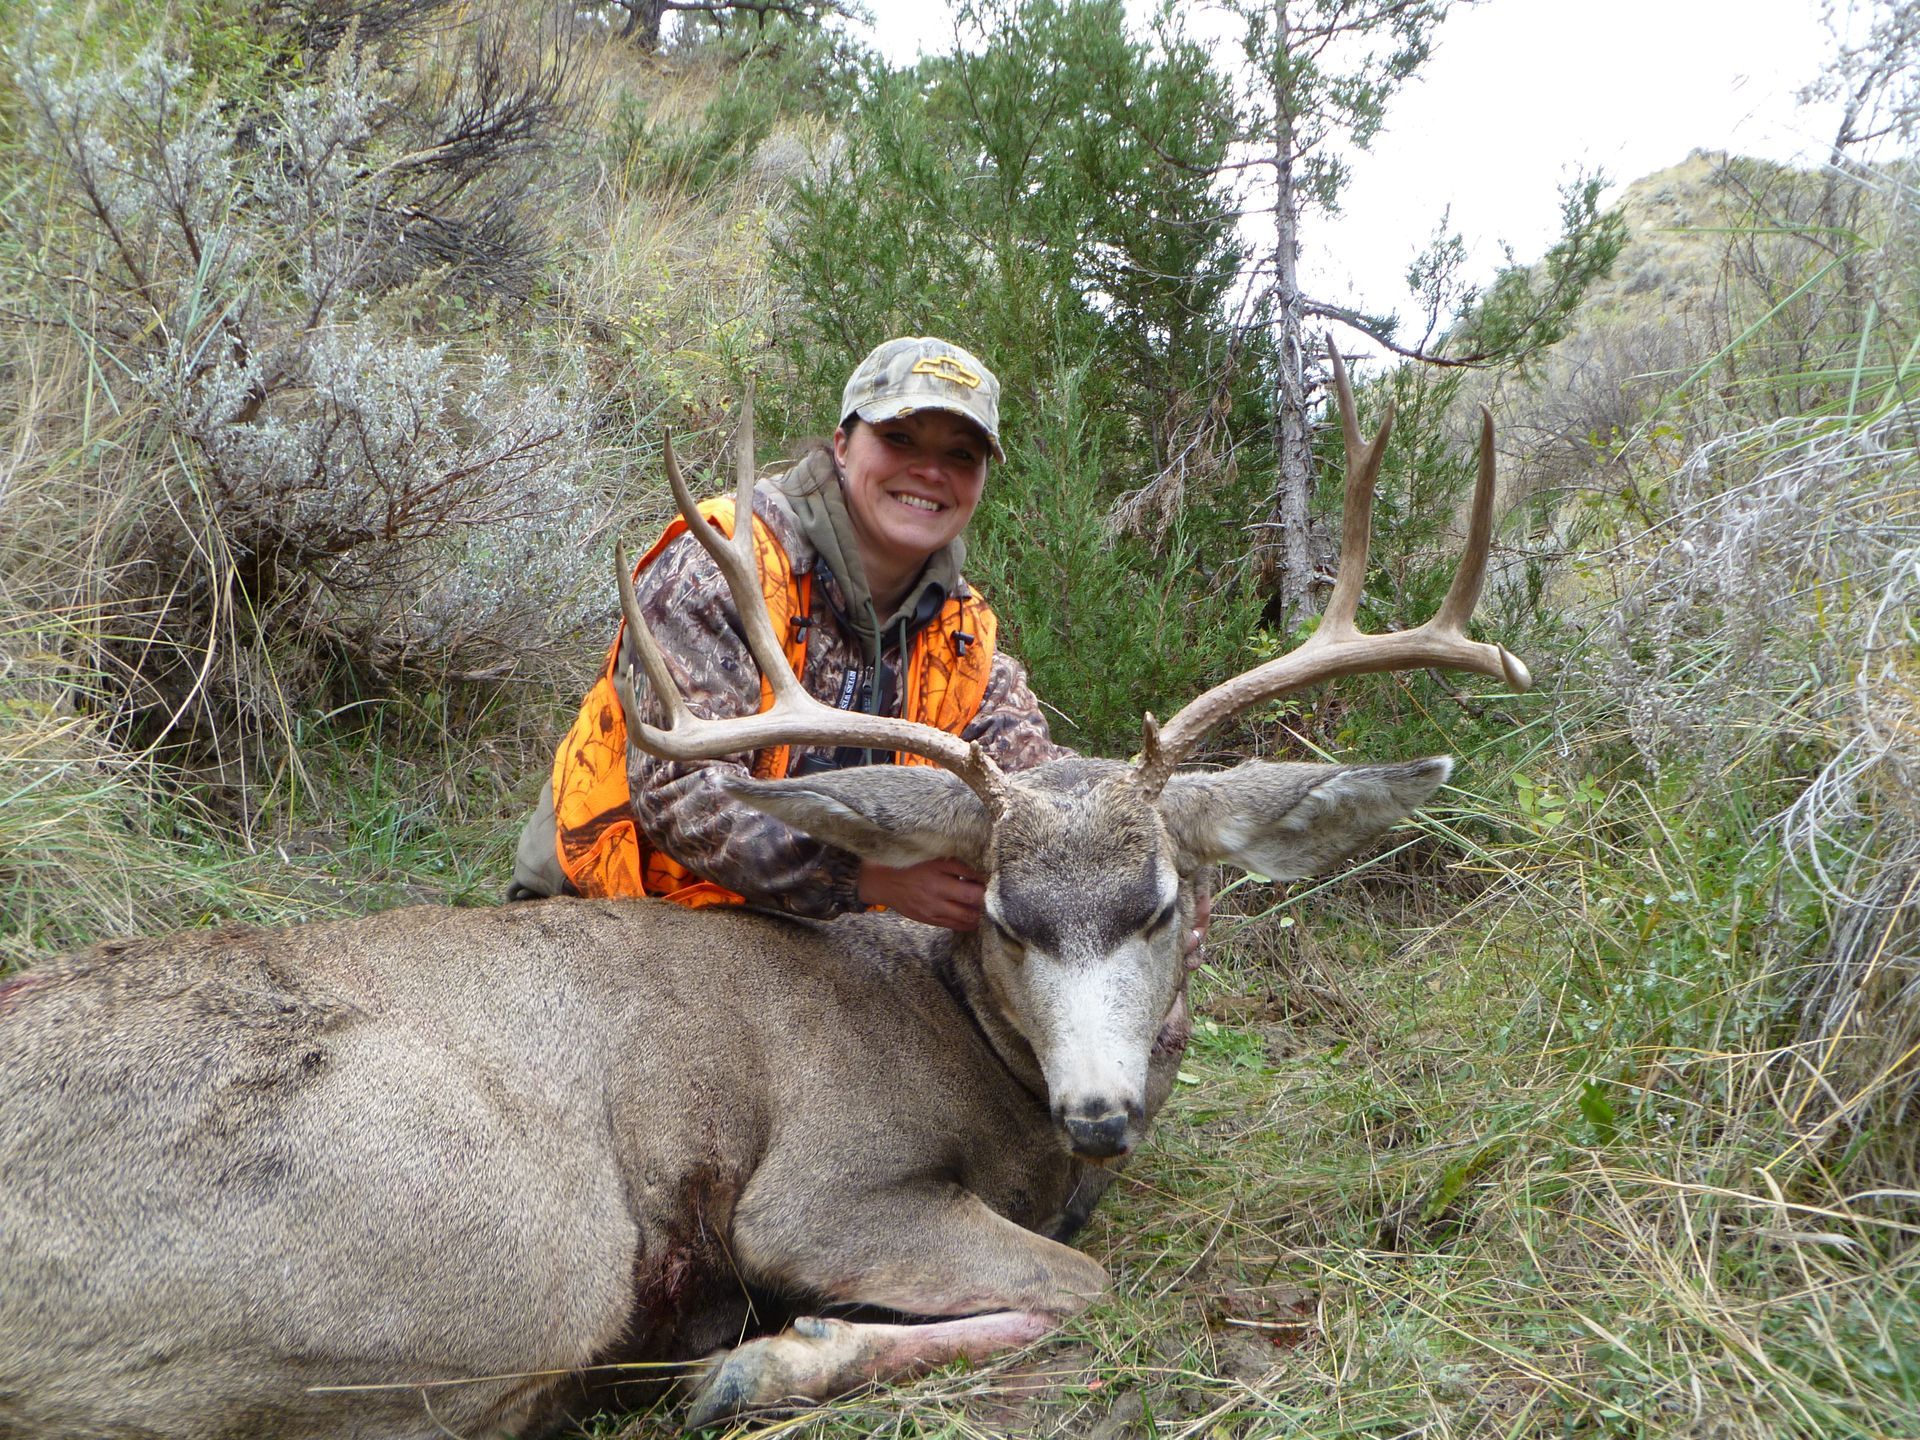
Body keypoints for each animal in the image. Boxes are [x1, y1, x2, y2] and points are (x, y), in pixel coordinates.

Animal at [0, 347, 1530, 1439]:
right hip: (494, 1245)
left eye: (1162, 904)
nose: (1100, 1114)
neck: (963, 1049)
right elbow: (1085, 1289)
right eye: (1005, 915)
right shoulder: (821, 1188)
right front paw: (766, 1364)